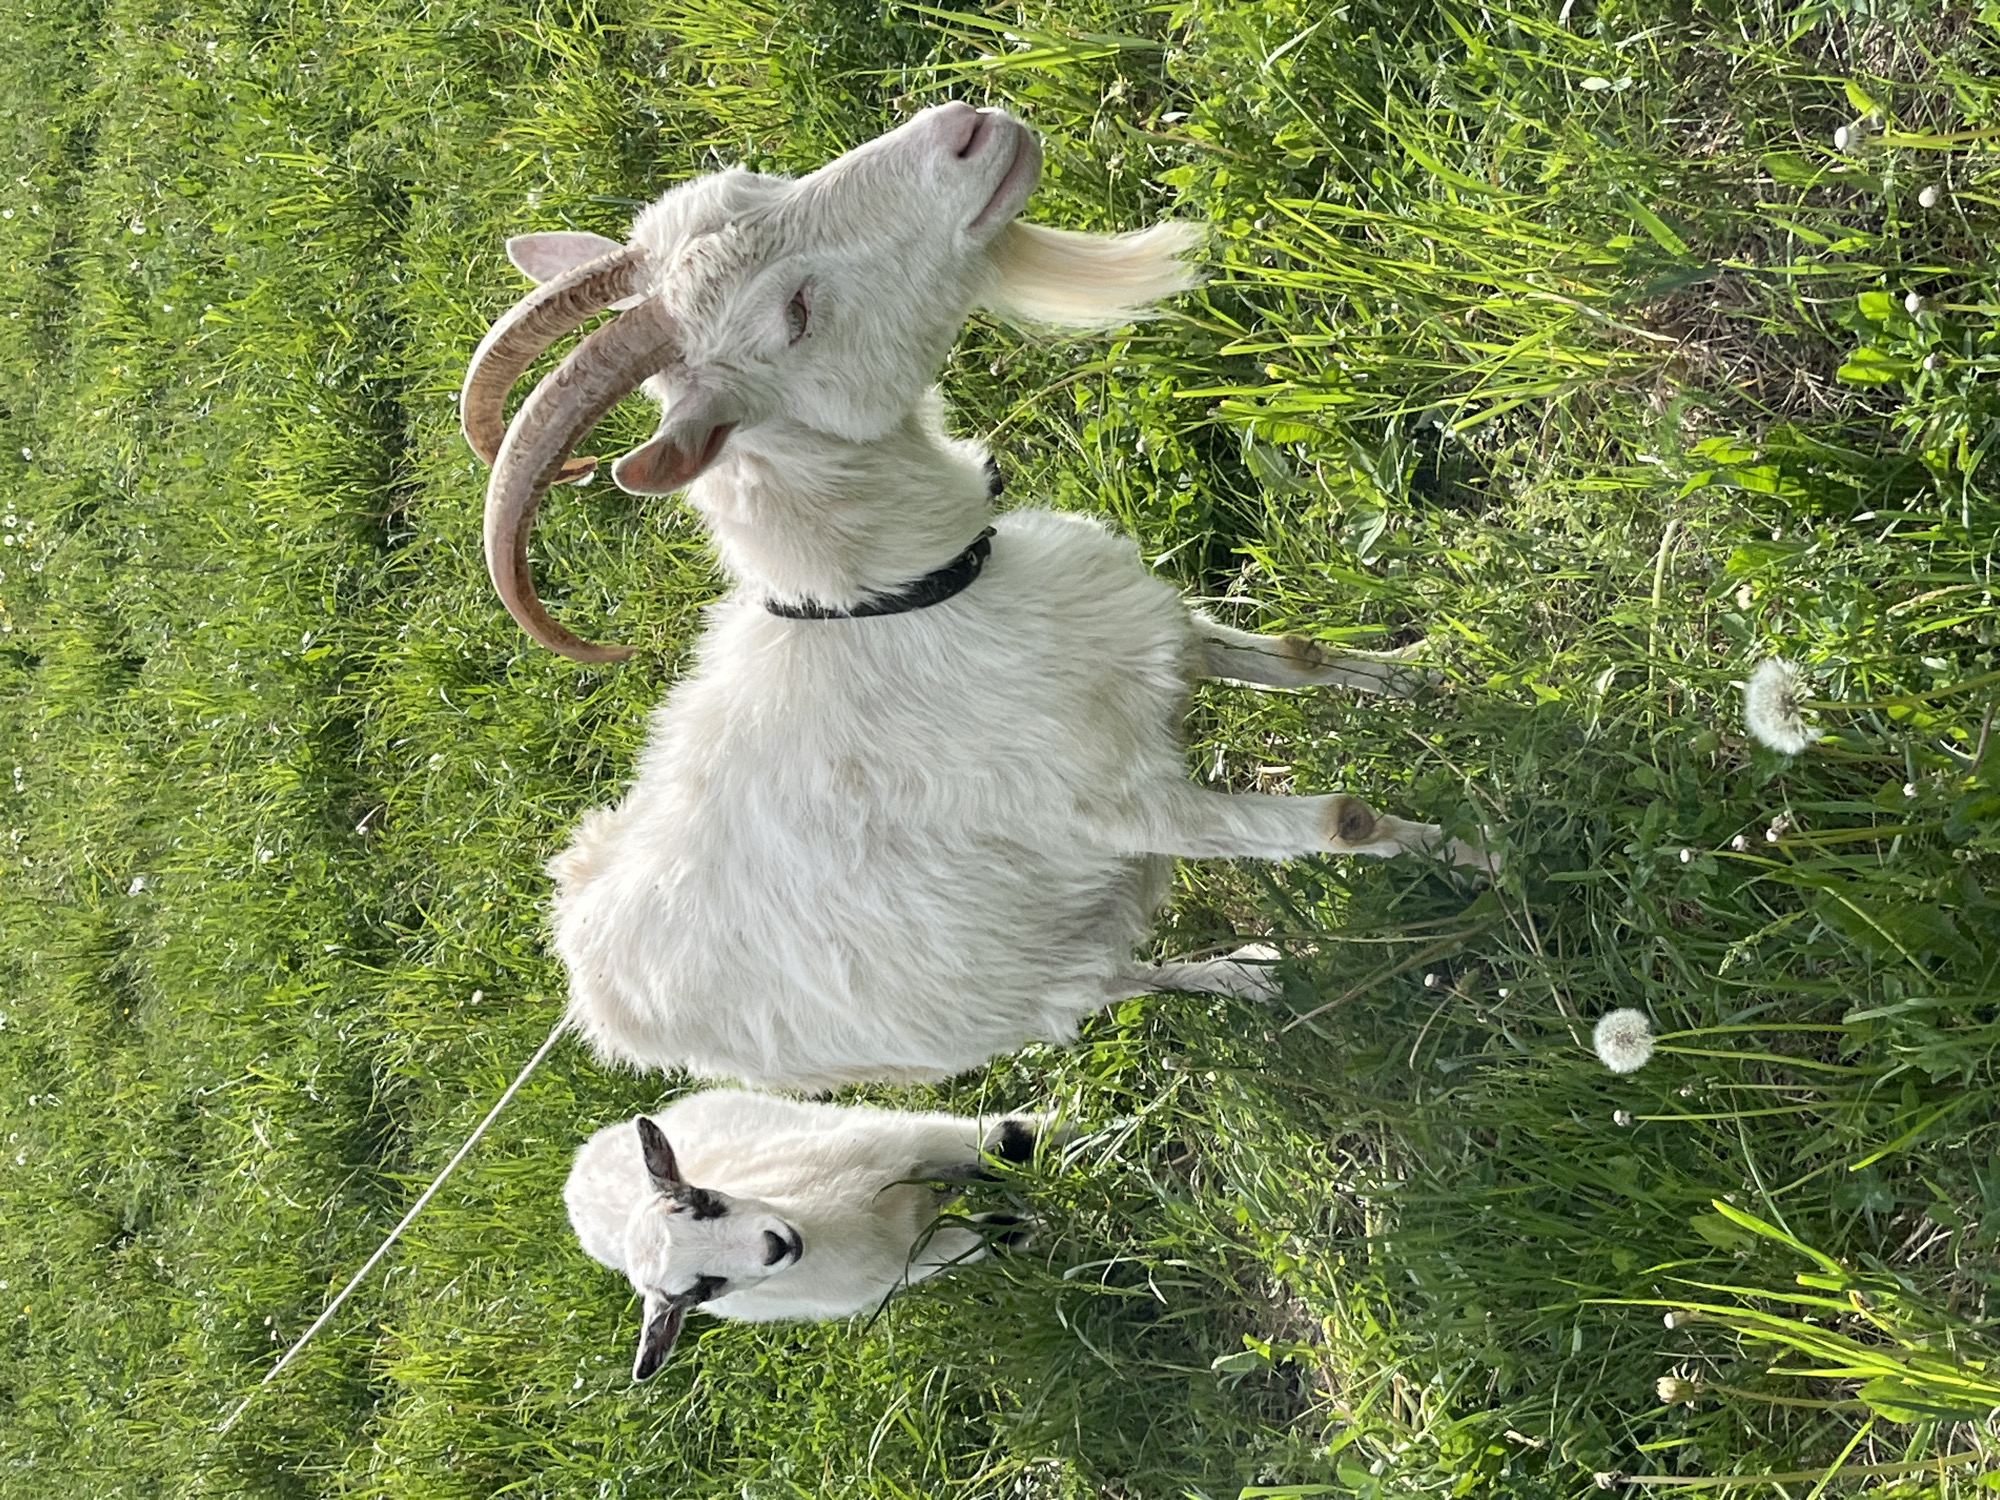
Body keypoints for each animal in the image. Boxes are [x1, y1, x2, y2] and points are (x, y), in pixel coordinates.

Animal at [463, 104, 1497, 1093]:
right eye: (795, 314)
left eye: (759, 178)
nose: (963, 128)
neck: (909, 598)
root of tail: (586, 968)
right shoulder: (1125, 806)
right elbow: (1340, 821)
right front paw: (1485, 856)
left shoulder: (1149, 635)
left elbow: (1298, 658)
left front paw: (1429, 676)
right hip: (984, 1010)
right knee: (1106, 984)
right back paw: (1245, 974)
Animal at [565, 1089, 1051, 1376]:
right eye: (703, 1289)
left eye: (704, 1200)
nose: (774, 1246)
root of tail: (575, 1182)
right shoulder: (905, 1260)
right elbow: (984, 1238)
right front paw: (1040, 1234)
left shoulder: (912, 1140)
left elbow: (1005, 1139)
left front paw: (1063, 1128)